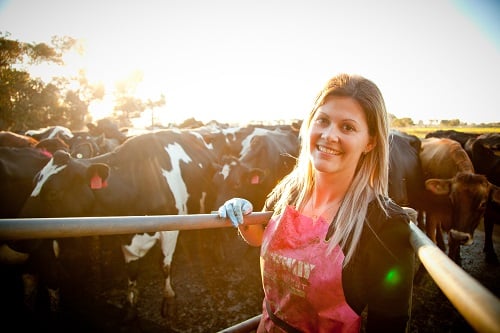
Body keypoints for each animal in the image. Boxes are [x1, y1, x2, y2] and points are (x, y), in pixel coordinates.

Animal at [19, 127, 219, 320]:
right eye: (33, 182)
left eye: (53, 192)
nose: (19, 239)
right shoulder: (125, 232)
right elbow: (131, 270)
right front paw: (131, 306)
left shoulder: (170, 228)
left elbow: (165, 265)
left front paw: (168, 300)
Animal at [420, 136, 498, 264]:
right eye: (451, 199)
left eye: (483, 204)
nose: (460, 236)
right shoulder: (432, 214)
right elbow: (431, 238)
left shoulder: (455, 228)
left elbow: (453, 247)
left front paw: (456, 259)